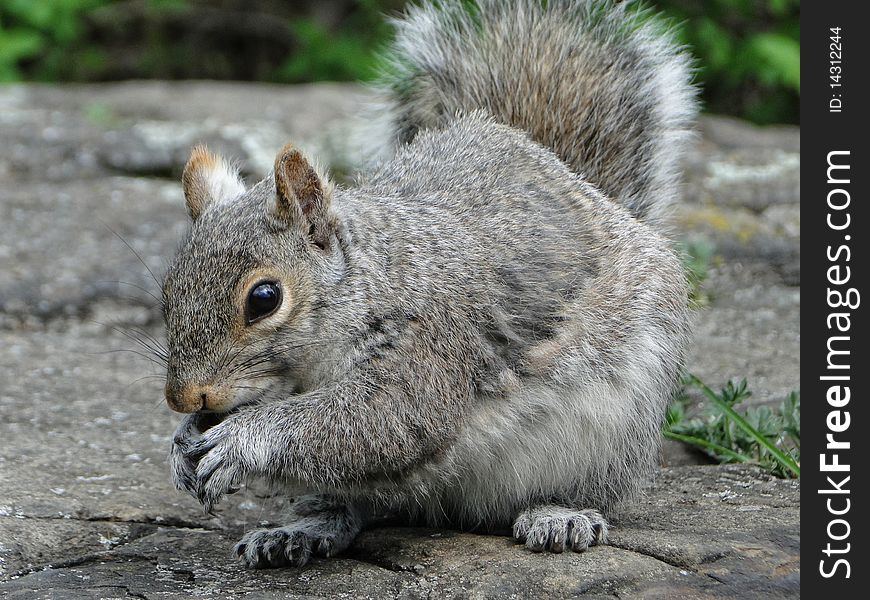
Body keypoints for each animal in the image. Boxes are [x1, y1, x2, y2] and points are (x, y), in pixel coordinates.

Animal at [164, 0, 700, 568]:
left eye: (265, 299)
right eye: (169, 290)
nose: (185, 397)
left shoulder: (432, 345)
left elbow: (386, 418)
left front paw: (240, 440)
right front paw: (182, 443)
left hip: (614, 430)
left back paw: (559, 514)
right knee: (343, 507)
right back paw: (297, 531)